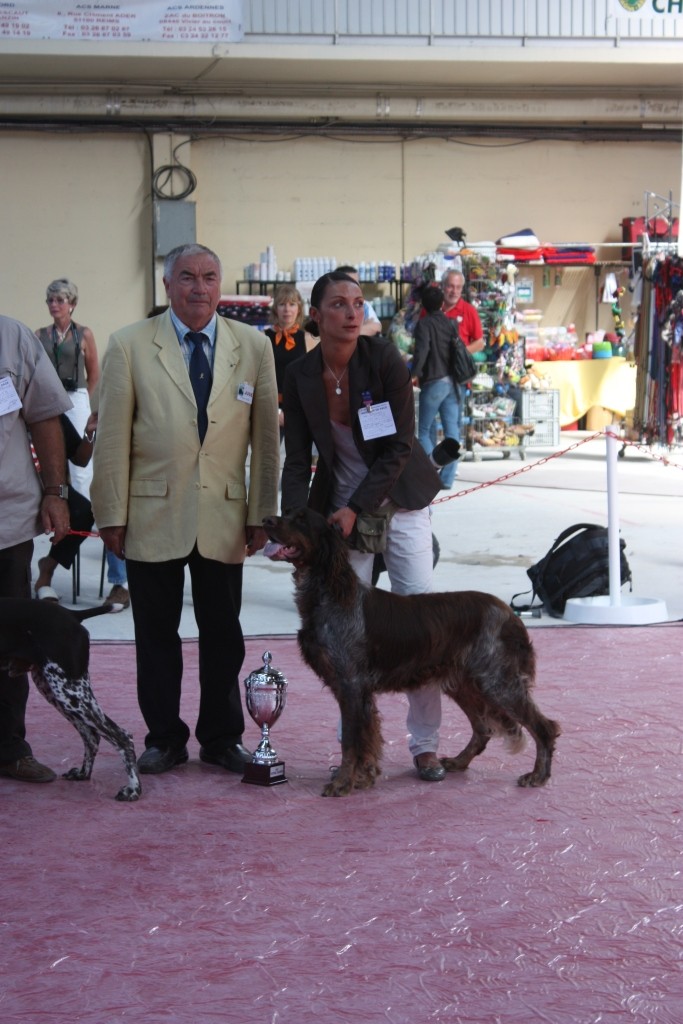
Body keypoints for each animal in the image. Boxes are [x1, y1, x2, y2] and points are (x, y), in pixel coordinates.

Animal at [0, 598, 141, 798]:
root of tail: (72, 614)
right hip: (59, 691)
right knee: (91, 737)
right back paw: (83, 773)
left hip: (70, 693)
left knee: (122, 737)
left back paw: (133, 789)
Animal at [264, 512, 557, 798]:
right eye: (288, 513)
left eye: (301, 520)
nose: (266, 521)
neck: (332, 592)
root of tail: (511, 616)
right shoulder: (358, 692)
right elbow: (367, 738)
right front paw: (364, 777)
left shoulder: (351, 685)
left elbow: (351, 741)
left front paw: (342, 783)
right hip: (464, 682)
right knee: (483, 728)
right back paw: (459, 762)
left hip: (497, 682)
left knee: (544, 726)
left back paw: (538, 776)